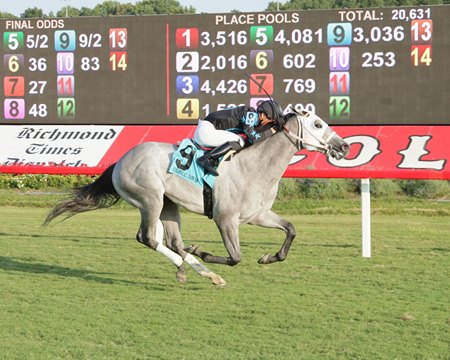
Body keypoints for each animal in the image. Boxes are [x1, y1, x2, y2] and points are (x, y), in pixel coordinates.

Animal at [44, 111, 348, 286]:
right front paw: (202, 251)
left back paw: (199, 272)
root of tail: (119, 161)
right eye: (318, 123)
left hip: (168, 205)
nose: (343, 146)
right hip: (150, 199)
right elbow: (235, 257)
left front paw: (269, 257)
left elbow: (291, 229)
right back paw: (188, 264)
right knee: (149, 238)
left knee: (172, 242)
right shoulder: (225, 219)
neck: (255, 167)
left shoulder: (258, 215)